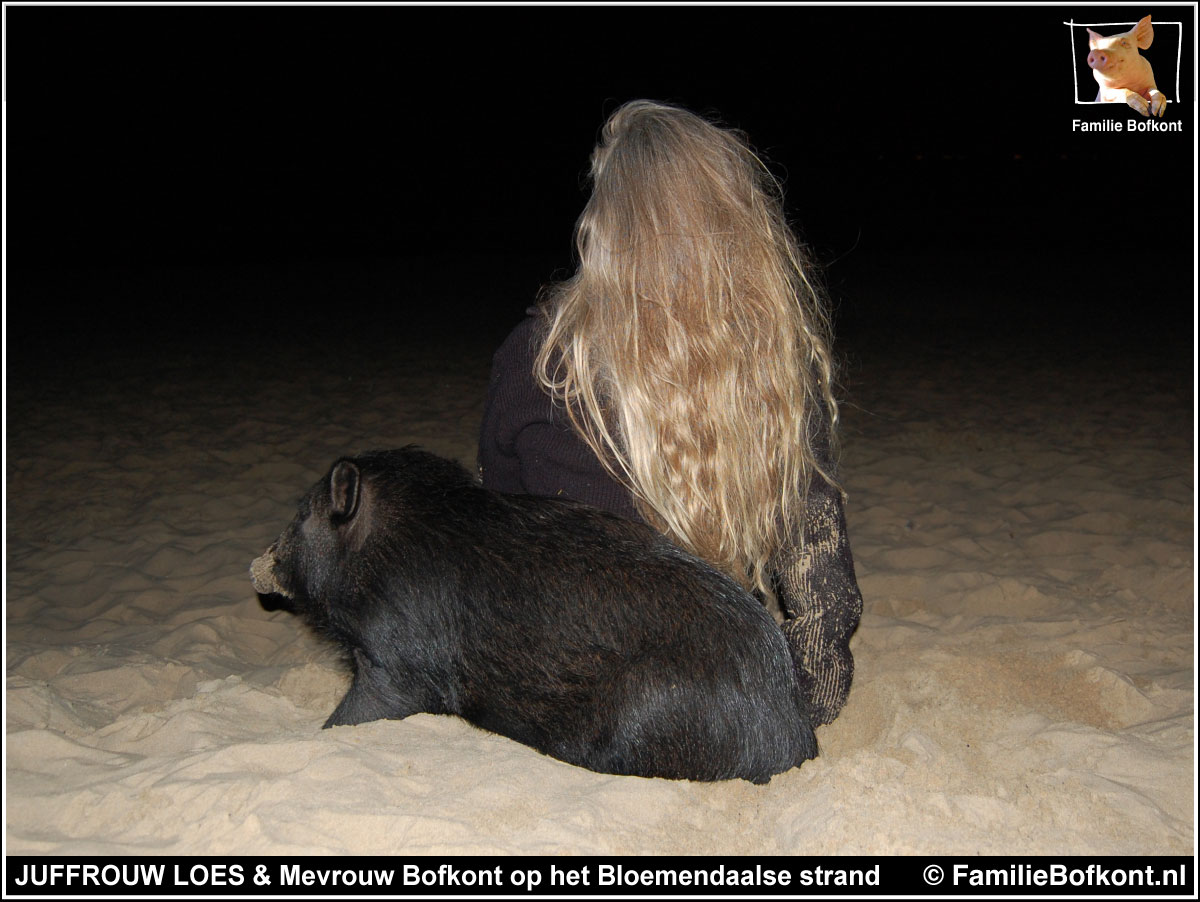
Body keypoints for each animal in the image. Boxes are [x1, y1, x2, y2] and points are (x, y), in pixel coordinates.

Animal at [252, 448, 816, 777]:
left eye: (303, 515)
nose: (260, 563)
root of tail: (794, 730)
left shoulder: (397, 660)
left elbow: (352, 717)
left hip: (651, 702)